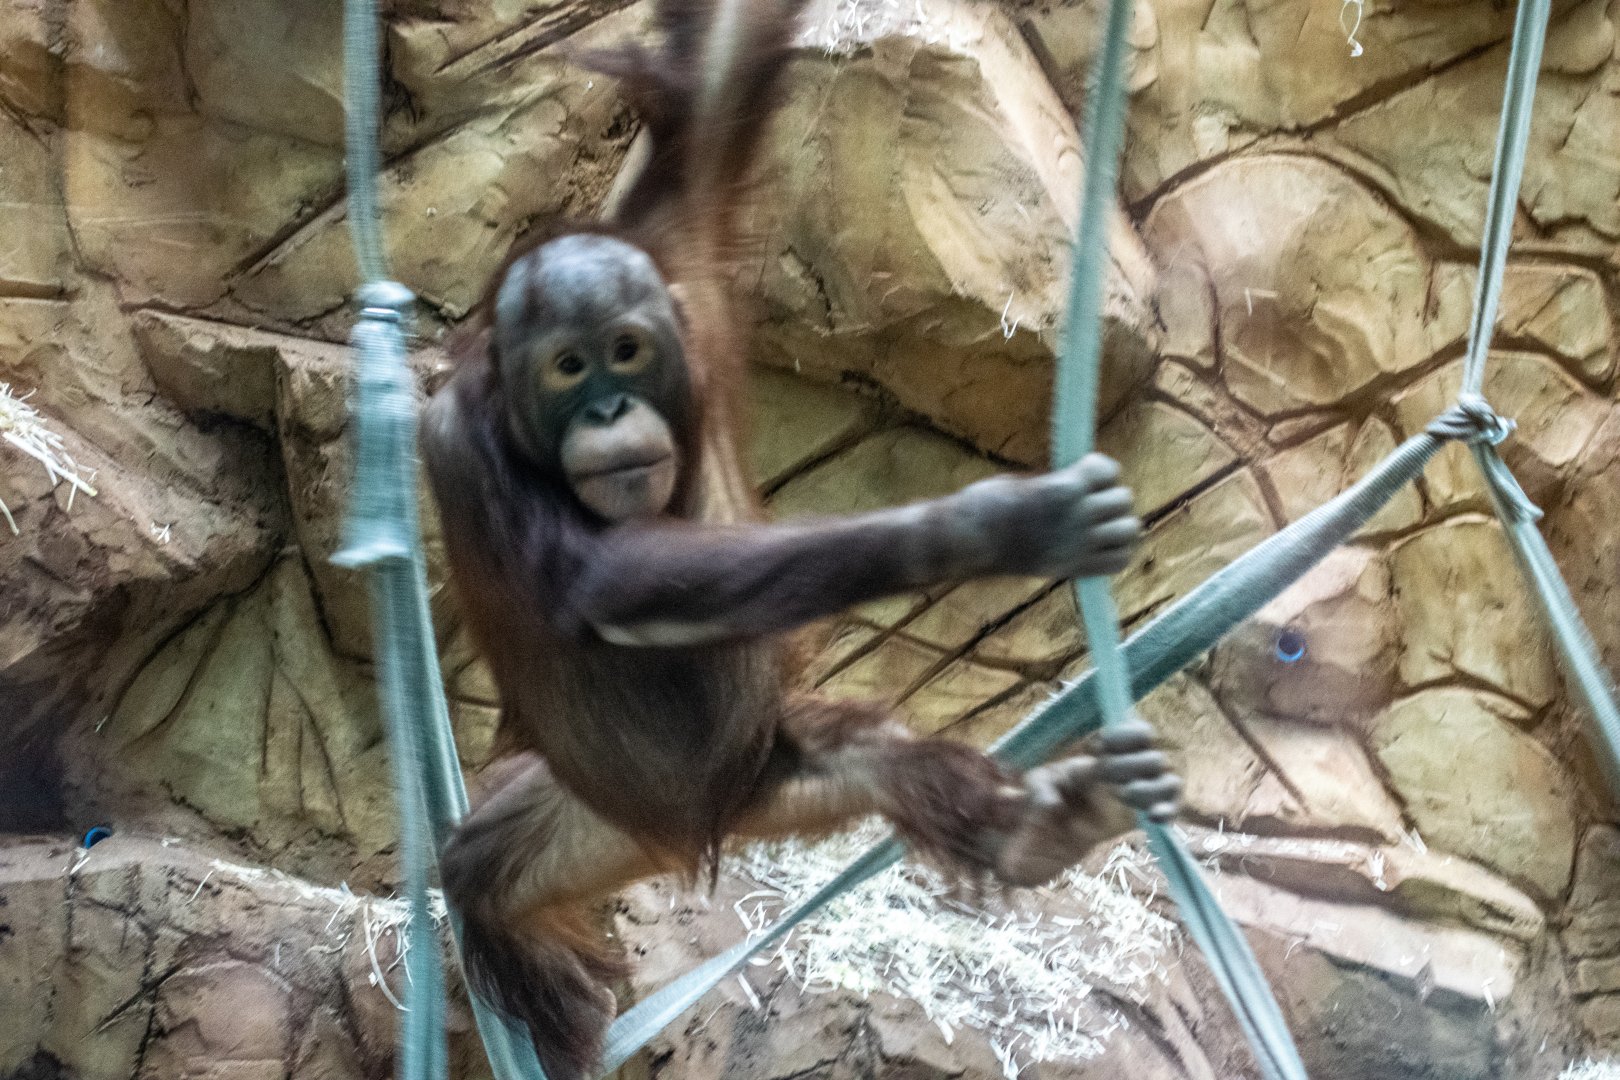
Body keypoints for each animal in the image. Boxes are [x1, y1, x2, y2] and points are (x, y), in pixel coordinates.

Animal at [420, 2, 1182, 1077]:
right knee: (478, 871)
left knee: (870, 757)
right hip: (590, 816)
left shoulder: (671, 243)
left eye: (626, 350)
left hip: (761, 774)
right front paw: (989, 526)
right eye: (567, 367)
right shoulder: (460, 444)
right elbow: (604, 579)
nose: (608, 407)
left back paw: (1039, 830)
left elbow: (719, 70)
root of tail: (701, 829)